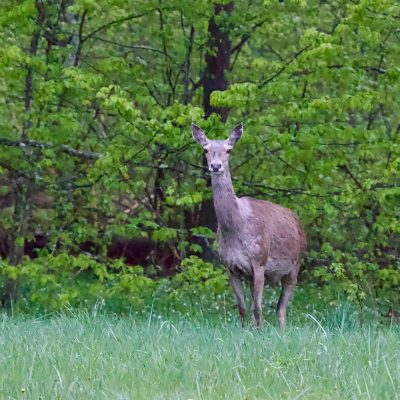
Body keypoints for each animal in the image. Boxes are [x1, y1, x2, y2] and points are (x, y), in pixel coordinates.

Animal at [191, 122, 306, 328]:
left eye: (229, 150)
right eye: (205, 149)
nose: (216, 165)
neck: (235, 230)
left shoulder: (259, 261)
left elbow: (257, 308)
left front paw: (258, 331)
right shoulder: (230, 266)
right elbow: (243, 308)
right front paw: (246, 330)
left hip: (295, 265)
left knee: (281, 308)